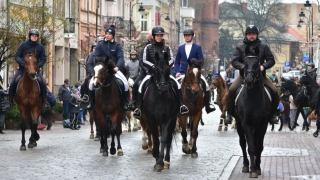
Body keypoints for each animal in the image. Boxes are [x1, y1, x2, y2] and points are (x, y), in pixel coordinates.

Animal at [232, 46, 272, 179]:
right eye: (244, 64)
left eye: (257, 64)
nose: (249, 80)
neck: (253, 98)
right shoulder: (246, 124)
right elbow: (251, 147)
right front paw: (252, 170)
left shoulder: (263, 125)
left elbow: (259, 146)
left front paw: (257, 168)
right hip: (239, 124)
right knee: (243, 144)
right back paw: (246, 165)